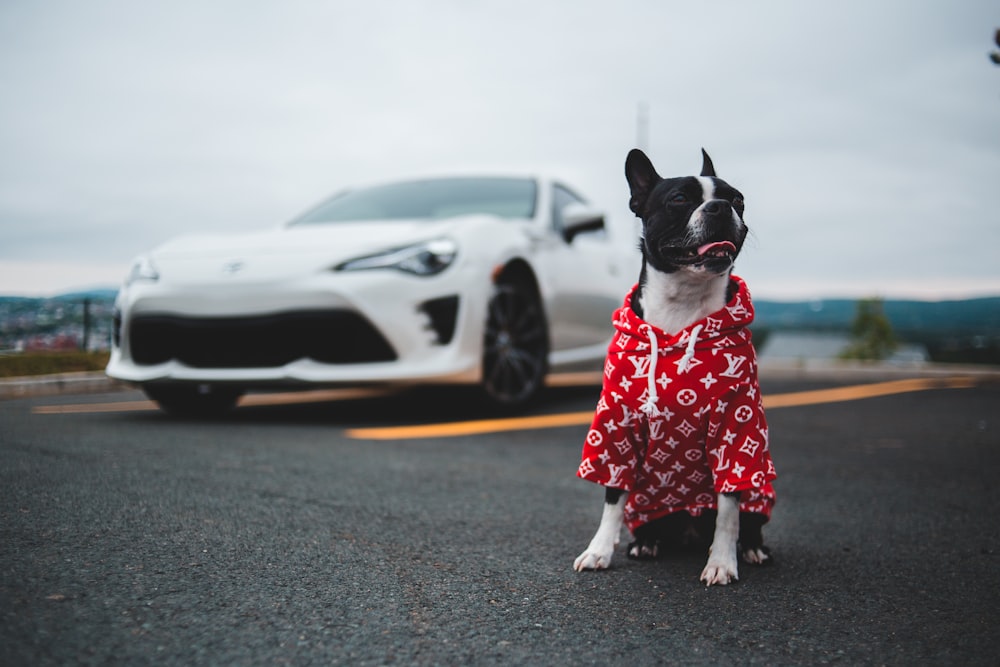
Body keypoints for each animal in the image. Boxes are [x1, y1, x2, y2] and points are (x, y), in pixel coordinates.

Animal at [576, 147, 776, 584]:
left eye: (738, 200)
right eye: (680, 199)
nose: (720, 207)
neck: (683, 304)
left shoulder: (735, 430)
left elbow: (729, 510)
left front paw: (722, 562)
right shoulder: (617, 427)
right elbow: (612, 496)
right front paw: (599, 550)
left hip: (760, 486)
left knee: (749, 519)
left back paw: (753, 549)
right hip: (646, 503)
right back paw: (645, 542)